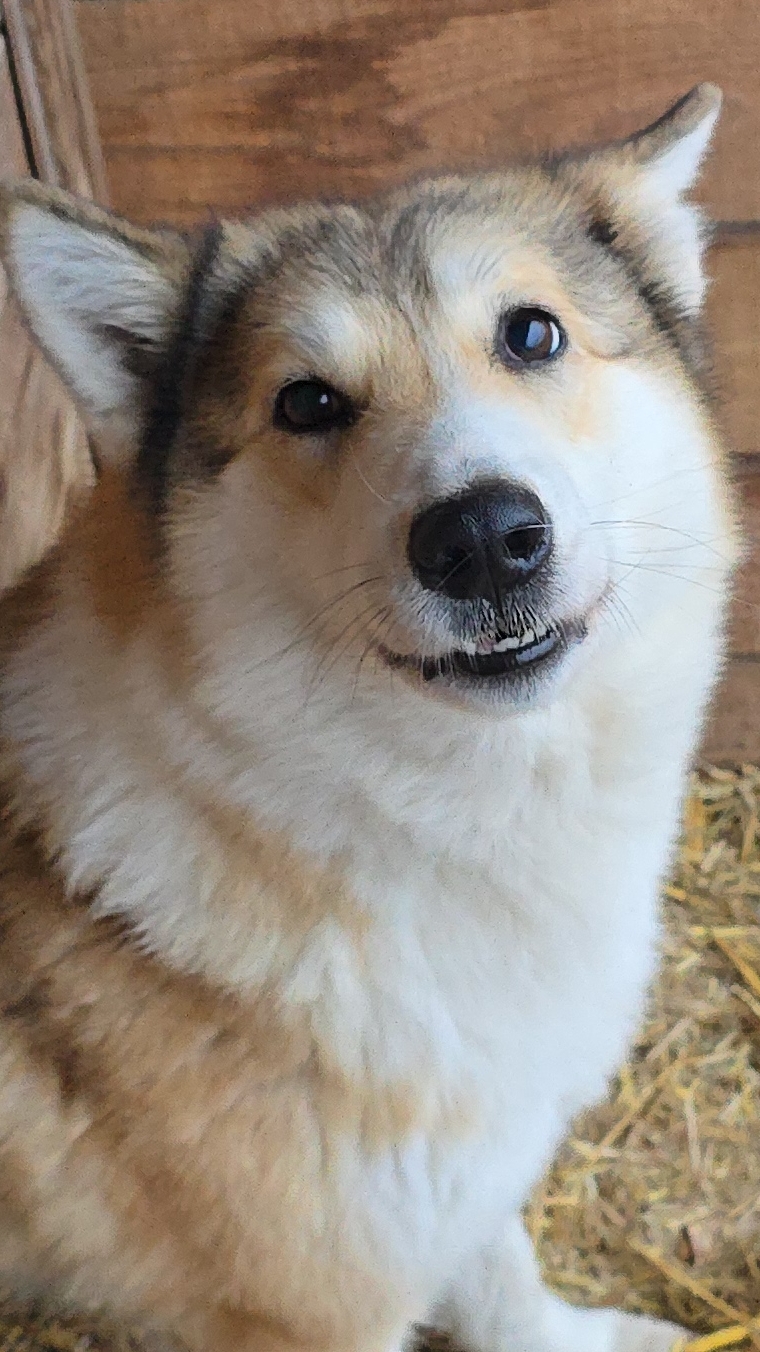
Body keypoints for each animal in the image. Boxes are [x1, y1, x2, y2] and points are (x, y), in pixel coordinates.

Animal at [0, 83, 737, 1352]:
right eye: (306, 402)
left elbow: (501, 1276)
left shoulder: (459, 1170)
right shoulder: (311, 1309)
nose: (482, 537)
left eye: (531, 335)